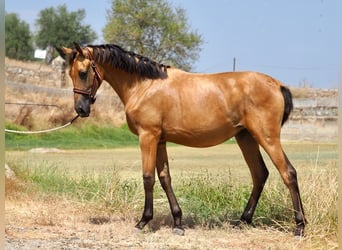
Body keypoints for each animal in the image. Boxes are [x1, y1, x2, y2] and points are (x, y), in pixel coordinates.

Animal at [57, 43, 306, 236]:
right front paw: (178, 222)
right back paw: (243, 220)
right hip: (245, 137)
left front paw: (143, 221)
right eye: (70, 74)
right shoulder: (160, 140)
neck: (144, 85)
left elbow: (148, 178)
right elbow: (165, 178)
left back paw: (299, 227)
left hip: (266, 137)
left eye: (83, 72)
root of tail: (277, 84)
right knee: (260, 174)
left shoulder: (148, 136)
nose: (81, 109)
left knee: (288, 173)